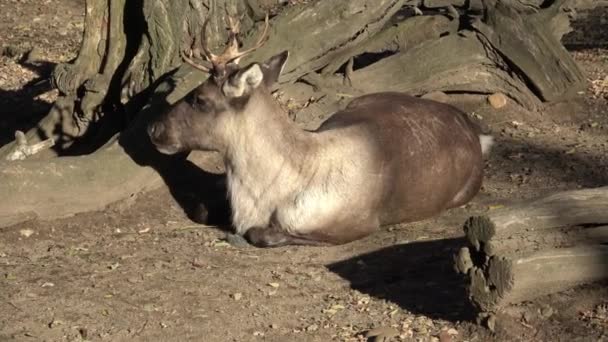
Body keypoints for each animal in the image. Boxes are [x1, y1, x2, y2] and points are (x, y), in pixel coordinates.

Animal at [147, 13, 494, 247]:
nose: (153, 127)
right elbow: (202, 208)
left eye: (199, 99)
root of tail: (476, 132)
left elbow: (261, 233)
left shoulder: (355, 226)